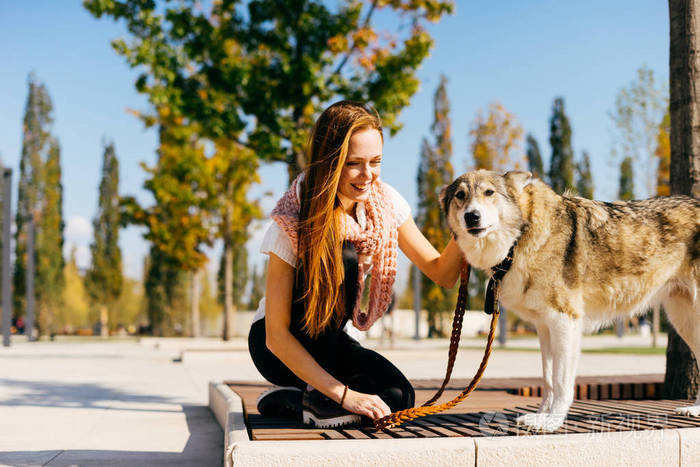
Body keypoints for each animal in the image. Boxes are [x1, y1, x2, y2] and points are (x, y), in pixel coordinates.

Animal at [442, 170, 700, 434]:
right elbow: (547, 380)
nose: (471, 216)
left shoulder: (564, 322)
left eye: (489, 192)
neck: (521, 238)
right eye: (460, 195)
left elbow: (560, 381)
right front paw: (540, 417)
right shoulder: (544, 328)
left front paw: (553, 422)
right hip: (685, 322)